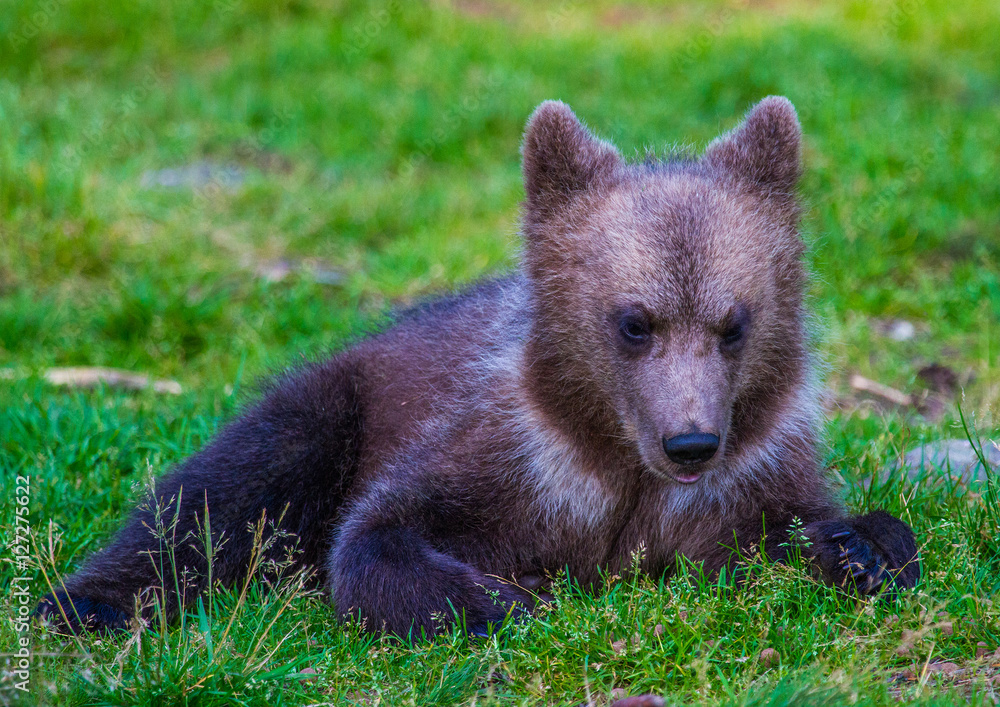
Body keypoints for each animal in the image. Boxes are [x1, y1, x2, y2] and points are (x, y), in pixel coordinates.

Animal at [36, 97, 920, 639]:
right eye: (634, 321)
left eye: (733, 323)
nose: (691, 442)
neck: (618, 460)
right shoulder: (509, 454)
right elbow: (377, 534)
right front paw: (505, 597)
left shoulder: (751, 468)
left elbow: (804, 523)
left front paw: (860, 545)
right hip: (341, 392)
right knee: (238, 479)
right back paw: (84, 601)